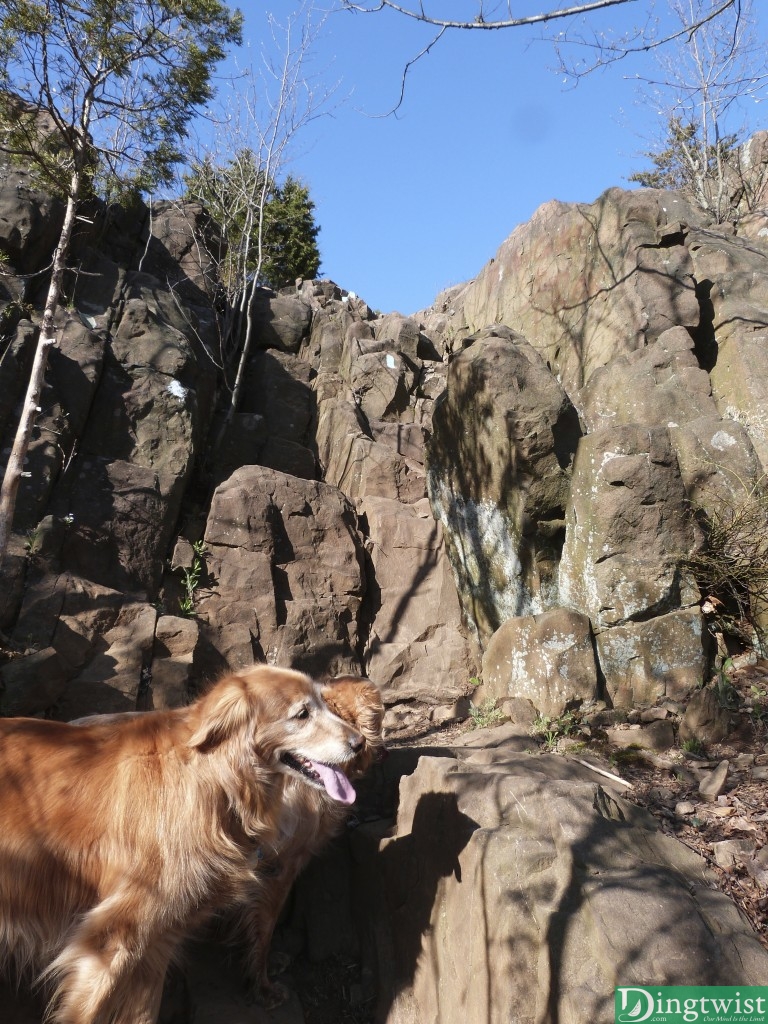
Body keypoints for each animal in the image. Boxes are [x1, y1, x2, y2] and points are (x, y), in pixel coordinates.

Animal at [0, 663, 364, 1024]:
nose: (359, 742)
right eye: (302, 713)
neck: (216, 777)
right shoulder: (113, 936)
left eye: (325, 702)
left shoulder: (156, 940)